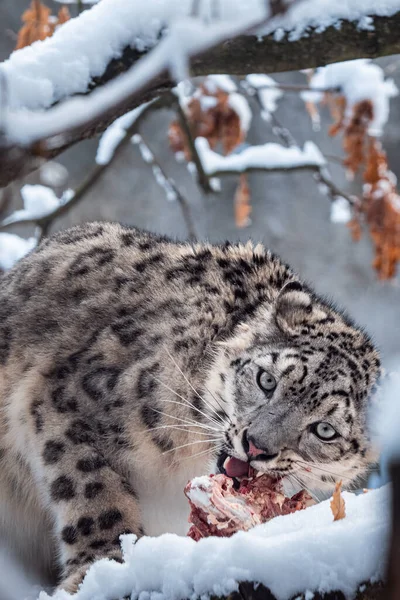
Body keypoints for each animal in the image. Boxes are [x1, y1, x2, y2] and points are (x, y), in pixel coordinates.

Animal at [0, 223, 380, 592]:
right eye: (267, 380)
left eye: (324, 430)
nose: (256, 445)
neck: (179, 461)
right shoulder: (66, 397)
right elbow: (93, 489)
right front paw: (99, 568)